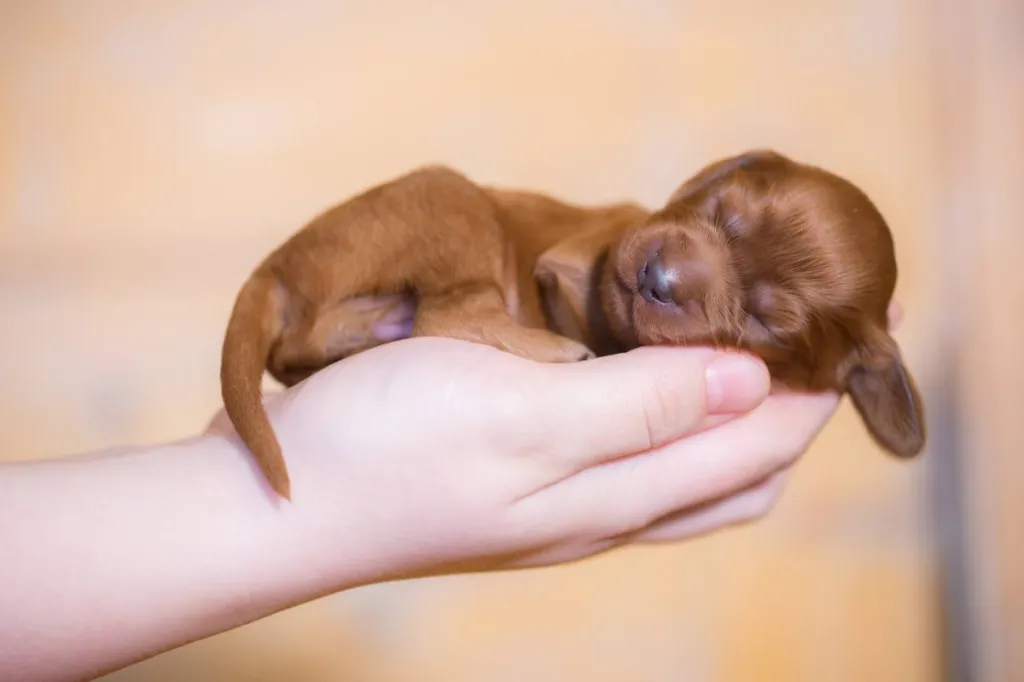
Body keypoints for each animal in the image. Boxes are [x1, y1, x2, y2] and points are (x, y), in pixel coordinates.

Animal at [220, 150, 925, 499]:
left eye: (763, 317)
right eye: (720, 210)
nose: (657, 276)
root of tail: (273, 269)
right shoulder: (575, 258)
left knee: (305, 347)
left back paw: (369, 330)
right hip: (452, 199)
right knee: (445, 310)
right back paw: (549, 349)